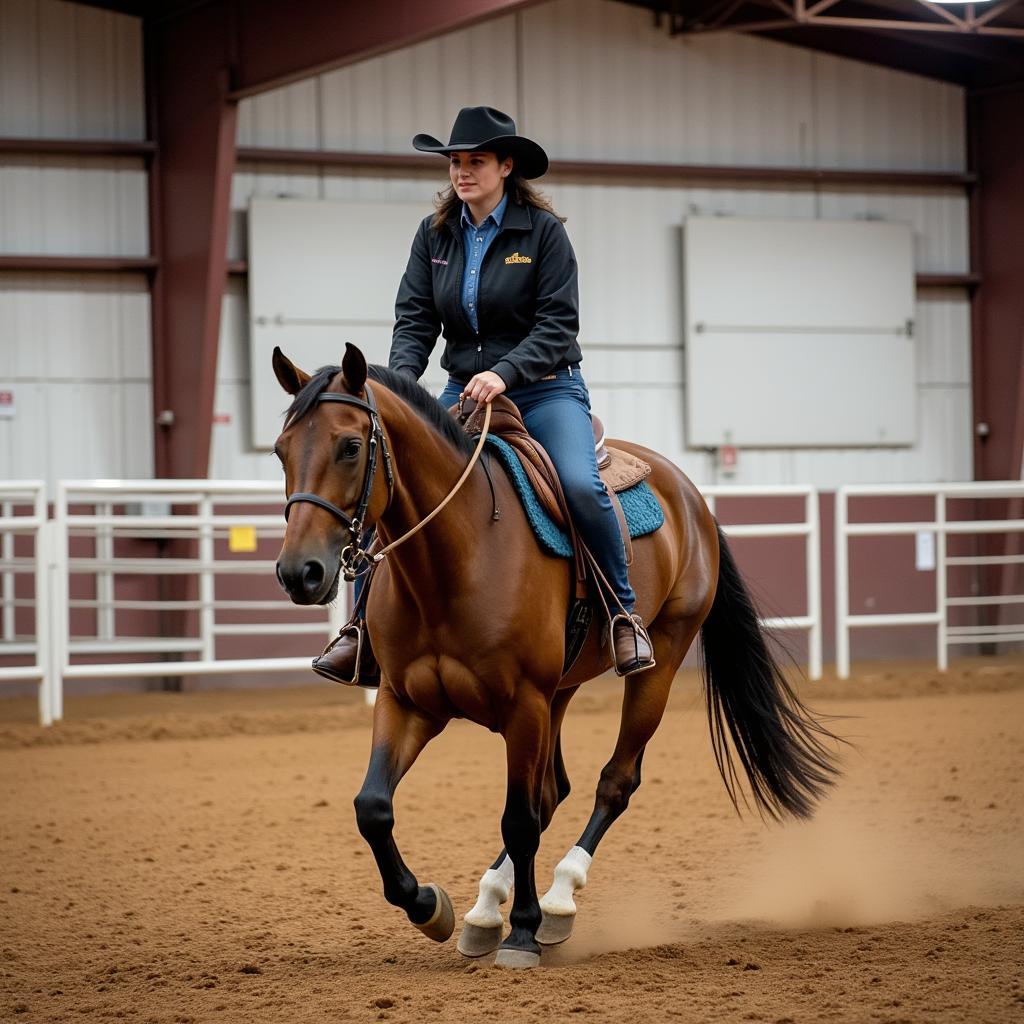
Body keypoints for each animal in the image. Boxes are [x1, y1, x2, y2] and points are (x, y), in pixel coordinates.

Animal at [272, 342, 839, 966]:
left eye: (350, 447)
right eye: (280, 451)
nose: (299, 572)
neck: (456, 558)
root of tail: (689, 494)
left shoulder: (524, 705)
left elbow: (519, 820)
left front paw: (523, 930)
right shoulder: (407, 702)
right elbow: (373, 807)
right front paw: (428, 906)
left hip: (657, 663)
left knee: (612, 782)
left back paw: (558, 901)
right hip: (560, 692)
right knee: (553, 790)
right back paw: (483, 910)